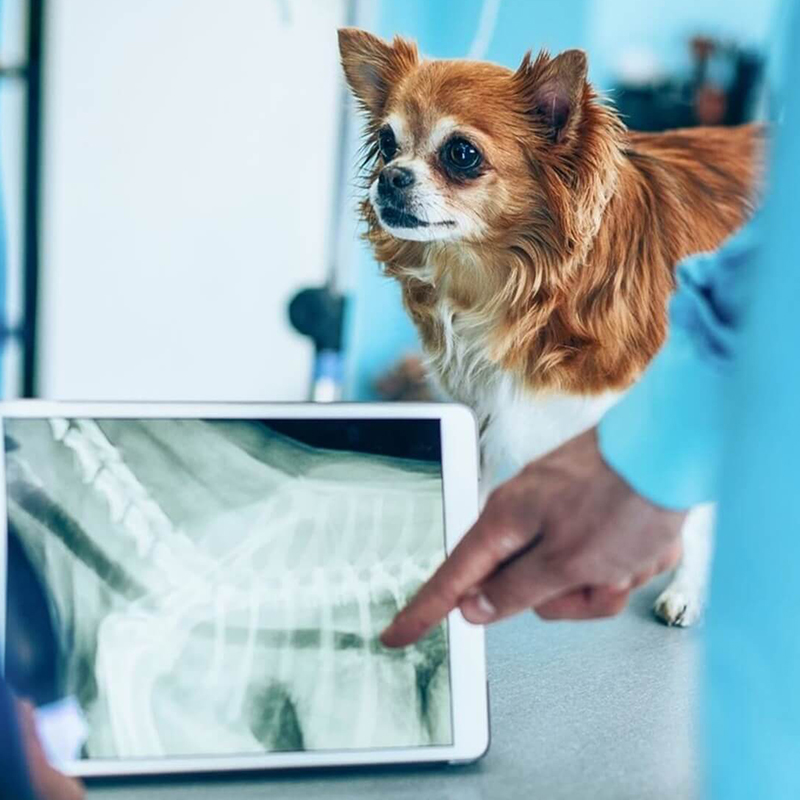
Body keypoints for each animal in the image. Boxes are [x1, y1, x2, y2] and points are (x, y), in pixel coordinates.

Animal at [338, 29, 764, 624]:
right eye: (385, 142)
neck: (513, 285)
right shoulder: (490, 404)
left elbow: (688, 511)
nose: (389, 177)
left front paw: (687, 591)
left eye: (461, 153)